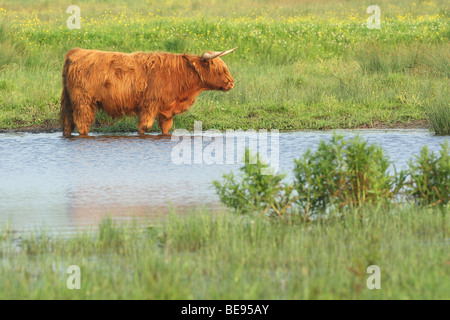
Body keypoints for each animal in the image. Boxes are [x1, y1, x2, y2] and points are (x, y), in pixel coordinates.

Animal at [60, 47, 237, 137]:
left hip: (69, 100)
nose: (231, 83)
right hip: (82, 102)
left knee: (67, 122)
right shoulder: (149, 105)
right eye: (218, 68)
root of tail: (75, 52)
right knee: (82, 124)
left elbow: (166, 128)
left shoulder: (167, 110)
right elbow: (144, 127)